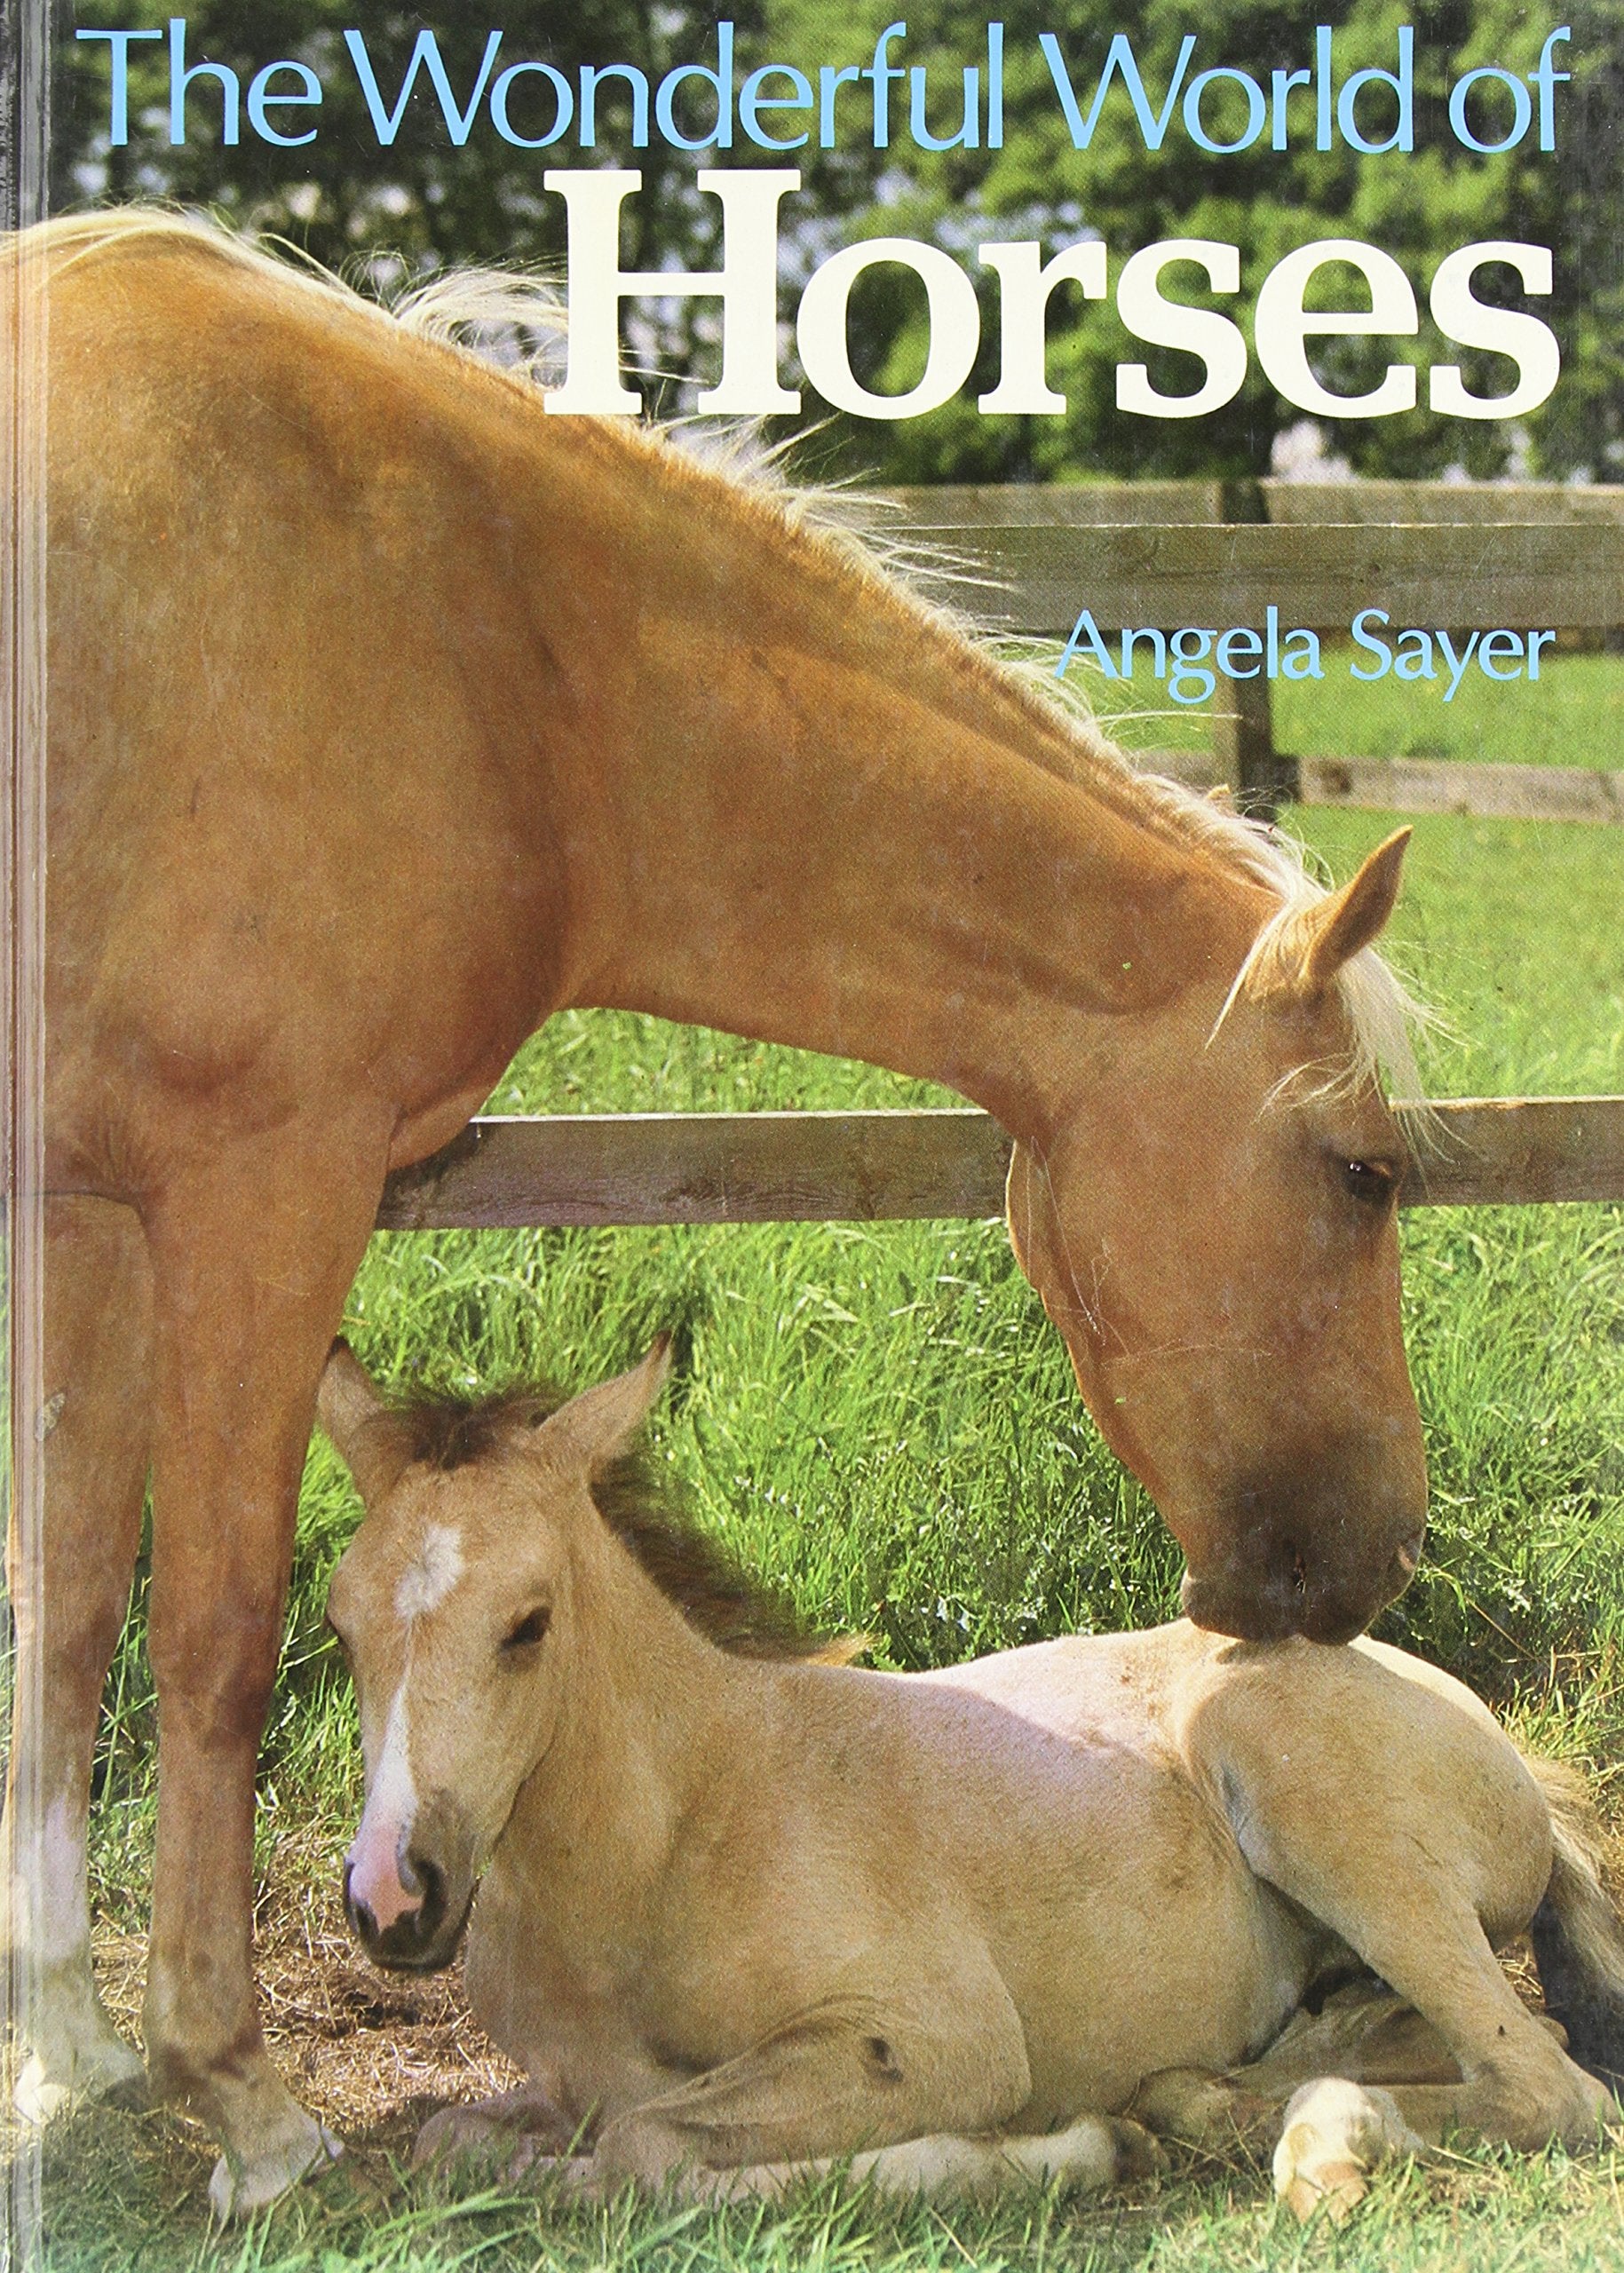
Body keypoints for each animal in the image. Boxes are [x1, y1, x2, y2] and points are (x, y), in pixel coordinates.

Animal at [7, 207, 1429, 2213]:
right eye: (1364, 1171)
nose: (1378, 1558)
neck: (494, 641)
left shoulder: (93, 1208)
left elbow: (60, 1614)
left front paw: (62, 2047)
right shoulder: (255, 1185)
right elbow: (206, 1643)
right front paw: (242, 2097)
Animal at [319, 1339, 1624, 2216]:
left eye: (528, 1624)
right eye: (339, 1625)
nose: (395, 1899)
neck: (677, 1831)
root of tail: (1502, 1750)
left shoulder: (935, 2038)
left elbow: (643, 2151)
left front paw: (1057, 2154)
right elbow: (460, 2141)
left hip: (1313, 1804)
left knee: (1547, 2088)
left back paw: (1231, 2127)